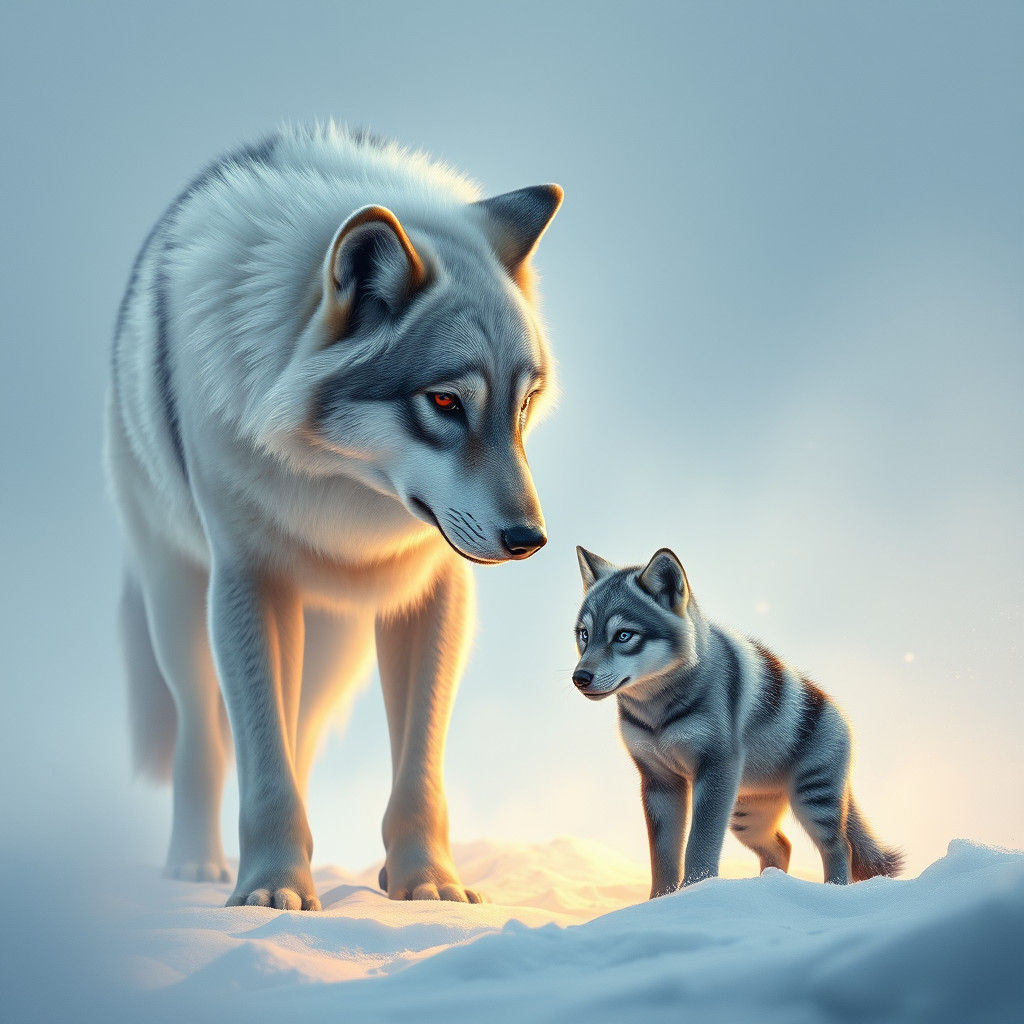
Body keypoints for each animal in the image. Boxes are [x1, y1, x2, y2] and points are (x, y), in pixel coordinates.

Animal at [105, 123, 562, 910]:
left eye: (523, 405)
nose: (528, 540)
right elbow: (262, 765)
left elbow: (420, 772)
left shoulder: (435, 591)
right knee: (205, 738)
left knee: (302, 735)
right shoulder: (248, 587)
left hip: (331, 653)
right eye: (446, 401)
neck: (342, 505)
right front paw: (271, 891)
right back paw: (196, 864)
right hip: (181, 609)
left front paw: (427, 885)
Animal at [572, 547, 903, 896]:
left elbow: (699, 845)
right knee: (782, 846)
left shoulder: (714, 770)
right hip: (745, 815)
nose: (579, 678)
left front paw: (696, 892)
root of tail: (841, 713)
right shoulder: (659, 782)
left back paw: (833, 892)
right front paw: (660, 901)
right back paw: (765, 886)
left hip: (812, 802)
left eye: (624, 635)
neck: (657, 712)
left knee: (839, 847)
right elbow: (662, 858)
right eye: (584, 634)